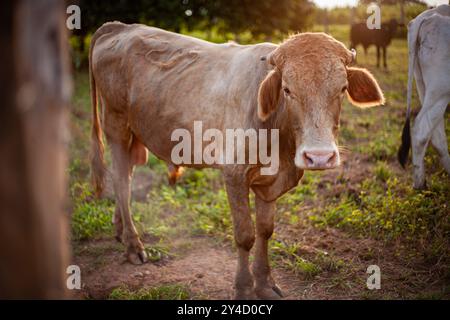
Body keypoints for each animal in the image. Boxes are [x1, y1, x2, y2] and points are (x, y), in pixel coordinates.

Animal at [89, 21, 384, 298]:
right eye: (287, 90)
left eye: (342, 88)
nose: (319, 157)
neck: (279, 140)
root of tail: (120, 27)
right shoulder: (234, 174)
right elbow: (245, 236)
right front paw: (243, 287)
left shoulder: (270, 182)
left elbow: (265, 230)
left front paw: (264, 283)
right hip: (115, 124)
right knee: (121, 180)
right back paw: (133, 245)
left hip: (134, 132)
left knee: (127, 175)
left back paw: (120, 229)